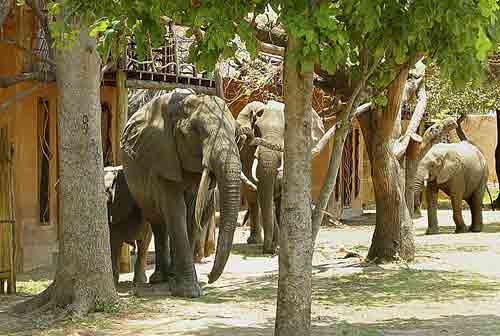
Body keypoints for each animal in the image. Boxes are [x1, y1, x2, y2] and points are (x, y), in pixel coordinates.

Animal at [119, 88, 240, 296]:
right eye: (198, 132)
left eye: (235, 133)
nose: (209, 276)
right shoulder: (162, 156)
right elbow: (176, 210)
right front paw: (189, 291)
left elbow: (190, 214)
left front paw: (186, 285)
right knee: (158, 222)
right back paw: (160, 278)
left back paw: (171, 276)